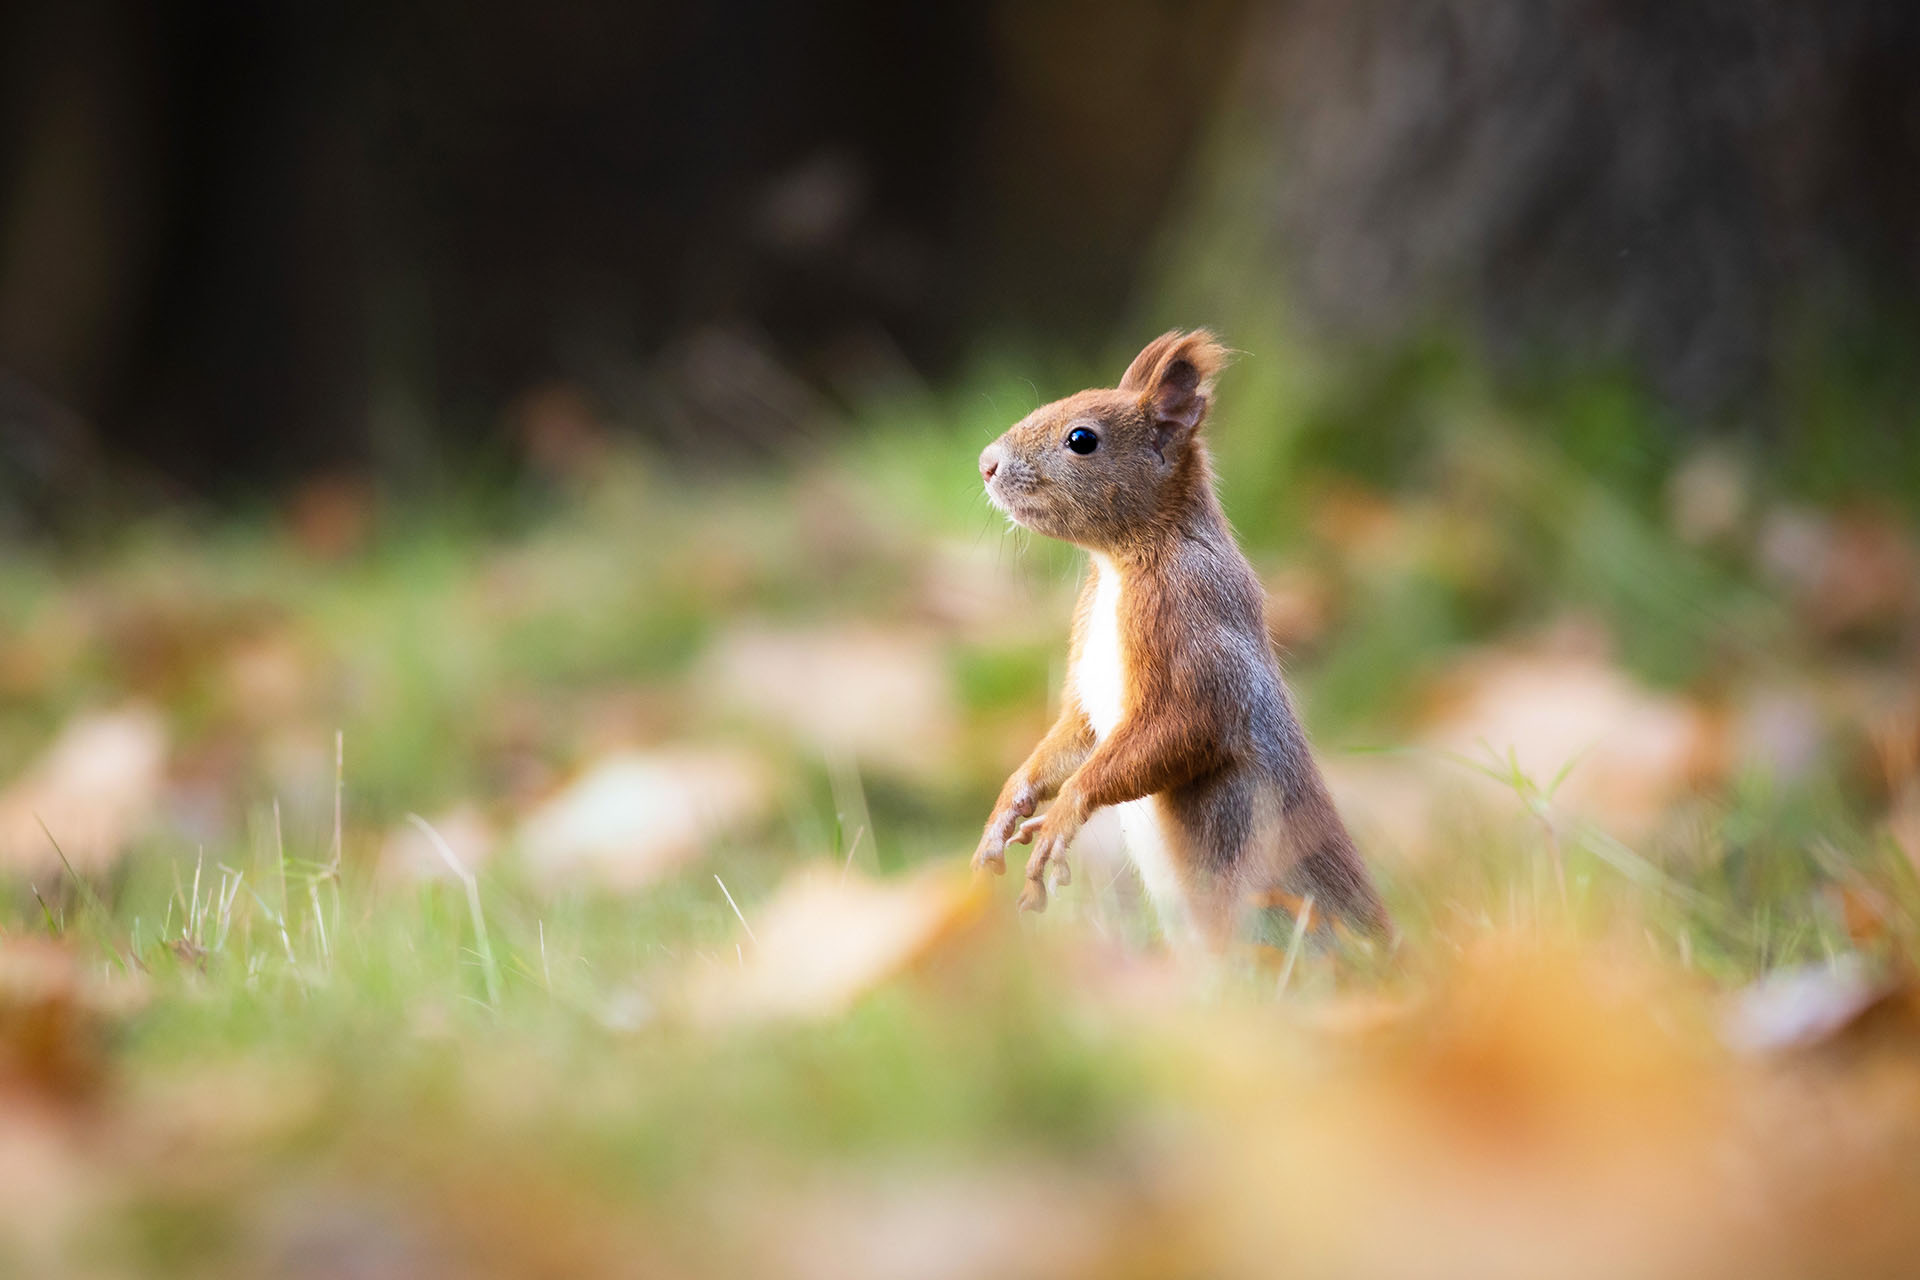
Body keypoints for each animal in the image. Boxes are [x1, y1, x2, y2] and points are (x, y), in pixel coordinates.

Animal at [967, 330, 1390, 951]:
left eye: (1081, 439)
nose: (986, 463)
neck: (1120, 564)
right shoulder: (1089, 687)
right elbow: (1073, 735)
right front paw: (1006, 809)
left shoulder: (1189, 621)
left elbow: (1181, 729)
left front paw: (1062, 816)